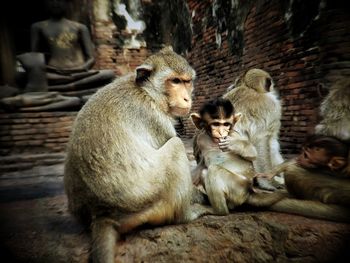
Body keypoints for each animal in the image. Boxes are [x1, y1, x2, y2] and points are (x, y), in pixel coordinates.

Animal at [65, 47, 213, 263]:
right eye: (175, 81)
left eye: (187, 81)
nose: (188, 98)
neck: (147, 92)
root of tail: (100, 213)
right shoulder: (155, 119)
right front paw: (203, 195)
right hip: (148, 201)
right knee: (176, 147)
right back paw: (185, 215)